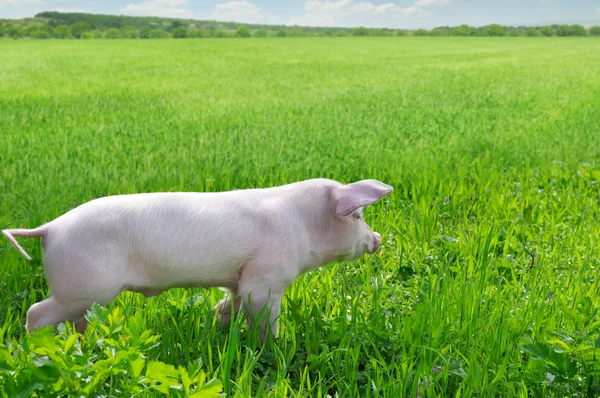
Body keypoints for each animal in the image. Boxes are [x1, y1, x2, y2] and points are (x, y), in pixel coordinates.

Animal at [3, 179, 394, 340]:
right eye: (358, 216)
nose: (377, 239)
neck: (302, 224)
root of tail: (50, 228)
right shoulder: (266, 276)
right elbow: (262, 313)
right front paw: (273, 347)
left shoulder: (239, 277)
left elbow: (230, 303)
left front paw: (219, 324)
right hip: (82, 286)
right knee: (37, 312)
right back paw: (36, 348)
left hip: (85, 294)